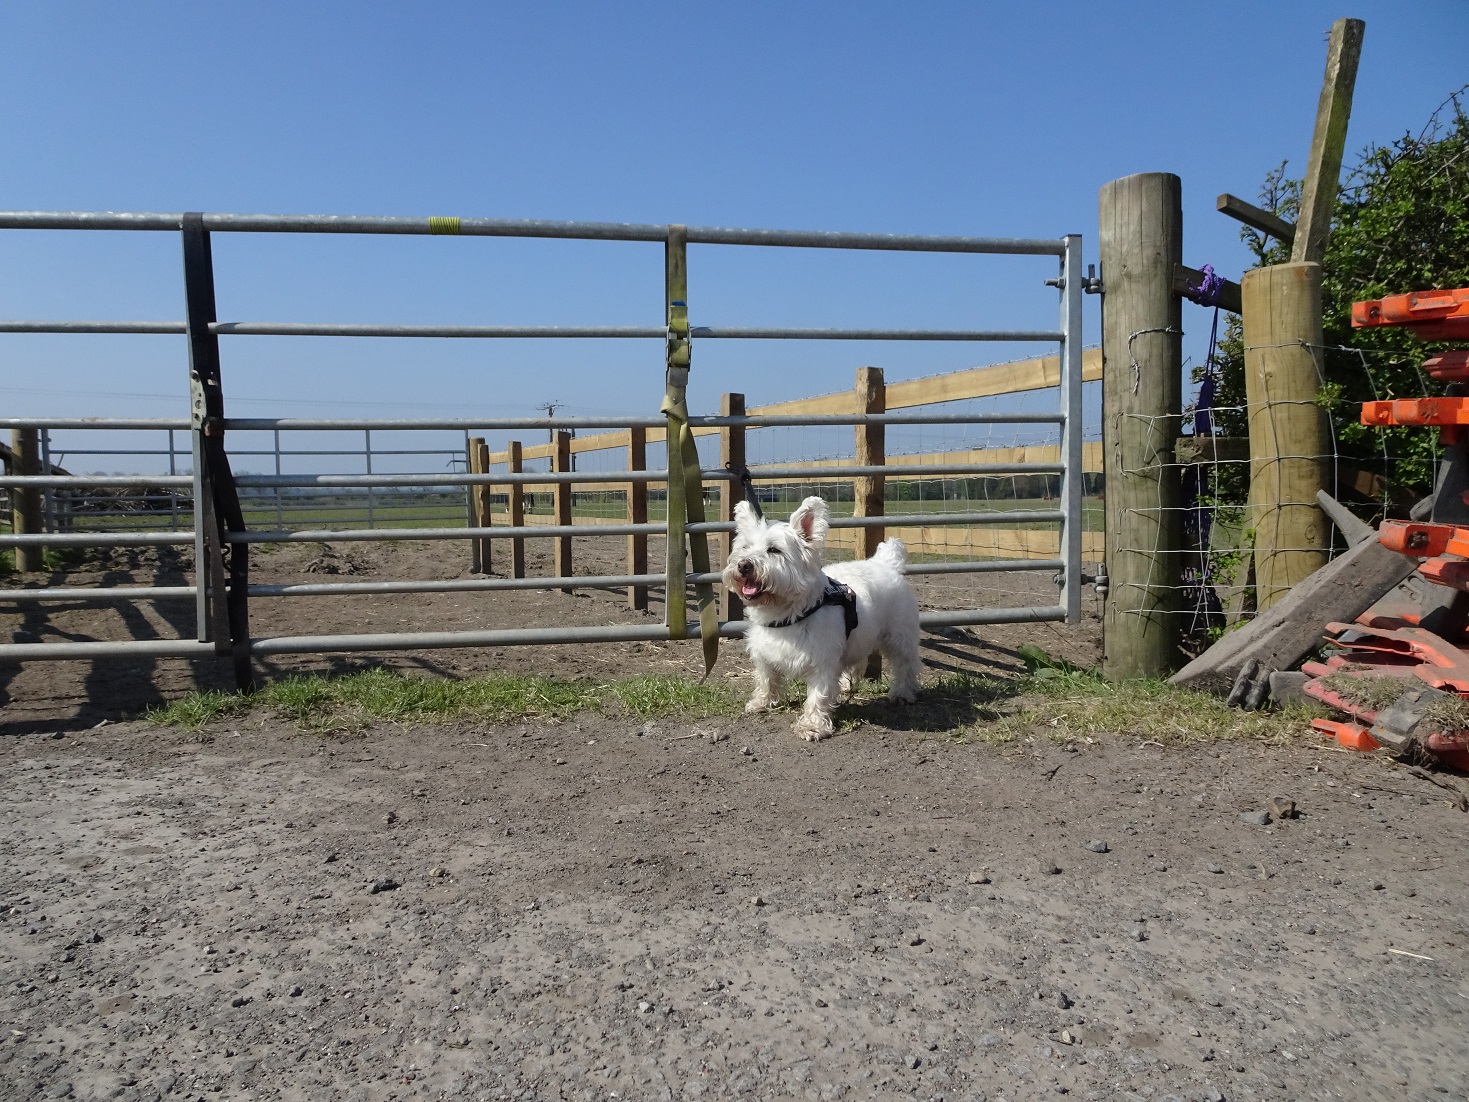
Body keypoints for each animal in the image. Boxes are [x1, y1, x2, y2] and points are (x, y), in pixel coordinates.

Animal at [722, 499, 916, 743]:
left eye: (774, 549)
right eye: (744, 547)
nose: (744, 565)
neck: (786, 613)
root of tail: (886, 562)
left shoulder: (822, 661)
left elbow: (818, 695)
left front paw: (812, 726)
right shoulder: (764, 653)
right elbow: (767, 678)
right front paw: (763, 702)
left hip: (899, 635)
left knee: (905, 664)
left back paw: (903, 693)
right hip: (858, 638)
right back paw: (846, 684)